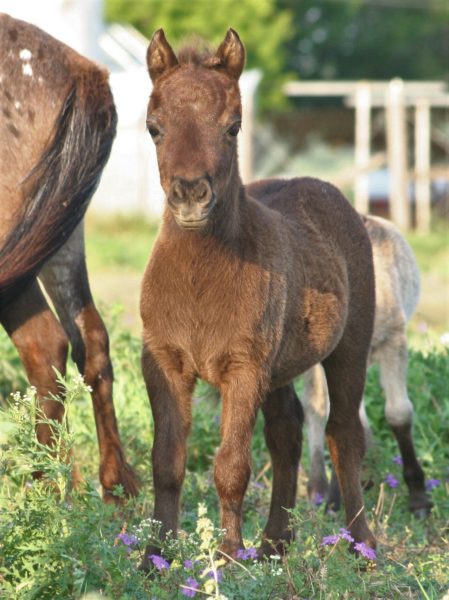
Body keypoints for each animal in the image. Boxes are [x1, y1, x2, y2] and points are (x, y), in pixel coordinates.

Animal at [0, 14, 137, 502]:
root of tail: (81, 71)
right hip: (58, 232)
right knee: (89, 340)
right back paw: (109, 491)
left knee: (45, 345)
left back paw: (48, 490)